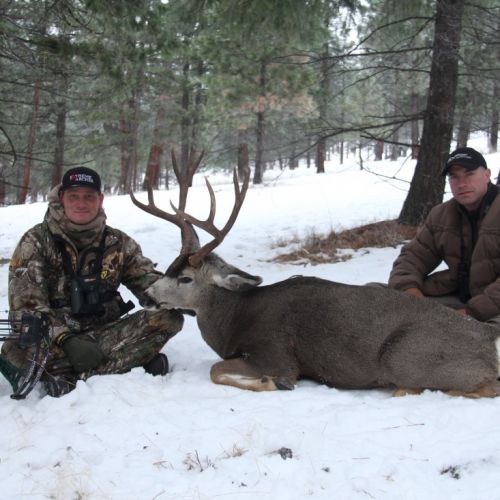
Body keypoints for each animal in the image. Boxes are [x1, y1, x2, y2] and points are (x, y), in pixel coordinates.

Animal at [130, 151, 500, 398]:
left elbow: (216, 369)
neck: (235, 320)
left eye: (186, 278)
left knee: (485, 386)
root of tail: (487, 336)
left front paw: (272, 383)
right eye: (168, 267)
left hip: (404, 356)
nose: (147, 296)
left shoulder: (275, 353)